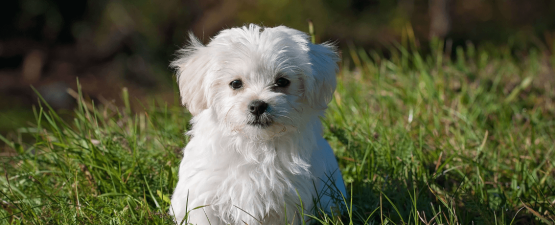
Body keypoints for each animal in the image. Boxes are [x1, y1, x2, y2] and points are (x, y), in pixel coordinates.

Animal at [169, 24, 346, 225]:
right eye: (235, 83)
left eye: (282, 81)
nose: (257, 106)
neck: (255, 145)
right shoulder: (204, 197)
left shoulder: (290, 202)